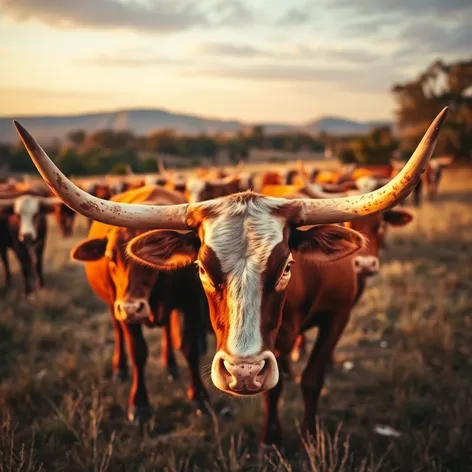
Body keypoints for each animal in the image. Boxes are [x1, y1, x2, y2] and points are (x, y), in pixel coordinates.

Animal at [70, 185, 210, 424]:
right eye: (110, 256)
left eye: (144, 259)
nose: (131, 308)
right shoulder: (125, 314)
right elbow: (138, 352)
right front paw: (139, 403)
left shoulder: (191, 304)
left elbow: (190, 349)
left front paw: (200, 398)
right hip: (113, 307)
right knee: (118, 332)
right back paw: (120, 369)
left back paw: (170, 366)